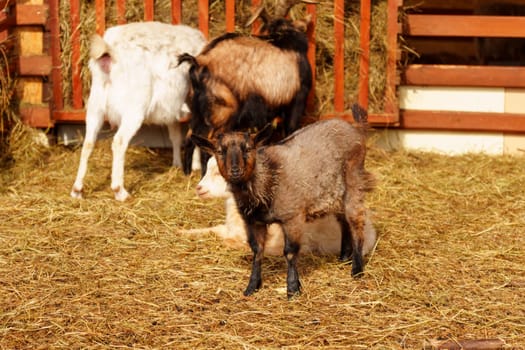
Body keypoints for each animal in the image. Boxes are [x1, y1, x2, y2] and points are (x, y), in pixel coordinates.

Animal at [70, 21, 206, 201]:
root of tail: (110, 52)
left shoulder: (171, 110)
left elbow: (176, 136)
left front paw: (177, 164)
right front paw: (195, 166)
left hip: (95, 105)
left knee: (88, 143)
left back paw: (77, 189)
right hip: (134, 108)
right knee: (119, 142)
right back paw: (119, 190)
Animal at [178, 0, 316, 175]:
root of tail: (199, 62)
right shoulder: (295, 102)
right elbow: (290, 131)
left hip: (197, 113)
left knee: (189, 140)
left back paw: (188, 175)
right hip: (223, 113)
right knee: (207, 148)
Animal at [190, 105, 374, 300]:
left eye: (248, 148)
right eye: (220, 151)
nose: (235, 171)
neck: (267, 179)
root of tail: (356, 128)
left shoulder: (292, 217)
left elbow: (290, 252)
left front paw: (293, 288)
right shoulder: (253, 222)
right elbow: (257, 251)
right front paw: (252, 286)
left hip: (354, 181)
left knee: (356, 222)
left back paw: (357, 269)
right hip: (334, 195)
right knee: (343, 222)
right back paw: (344, 257)